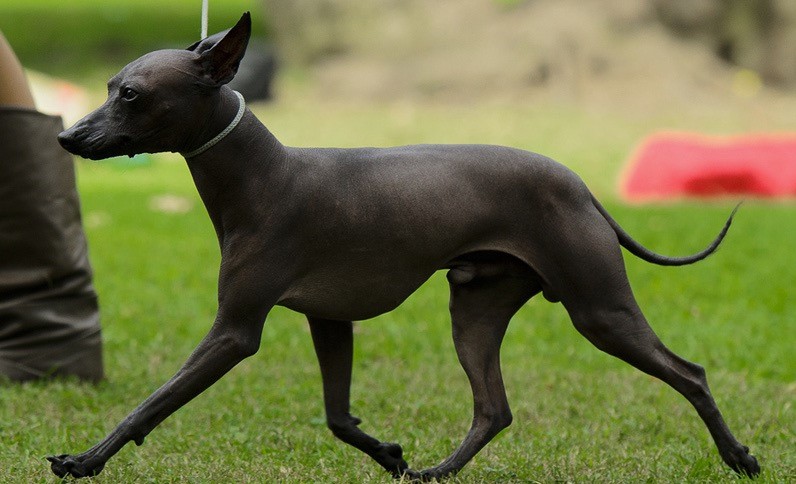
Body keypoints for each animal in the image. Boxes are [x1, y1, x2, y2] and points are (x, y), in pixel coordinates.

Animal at [49, 14, 760, 480]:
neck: (262, 174)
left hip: (598, 309)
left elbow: (151, 404)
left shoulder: (234, 331)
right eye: (108, 85)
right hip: (475, 308)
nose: (66, 138)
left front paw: (84, 460)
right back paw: (435, 472)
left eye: (132, 94)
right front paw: (390, 455)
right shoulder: (329, 320)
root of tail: (581, 184)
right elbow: (337, 416)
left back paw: (740, 457)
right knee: (493, 409)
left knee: (689, 373)